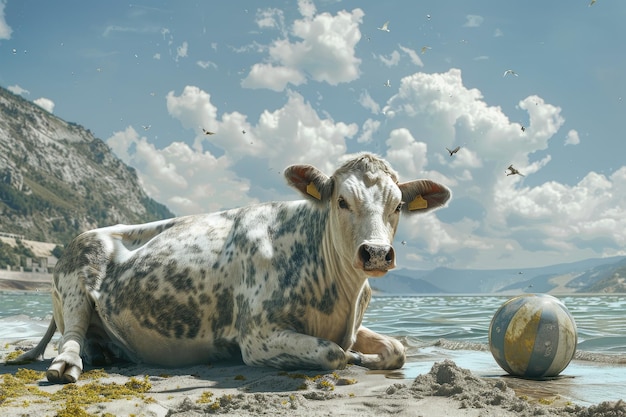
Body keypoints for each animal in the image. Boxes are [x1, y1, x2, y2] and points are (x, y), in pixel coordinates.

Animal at [8, 151, 448, 382]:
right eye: (341, 201)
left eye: (398, 206)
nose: (375, 253)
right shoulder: (257, 337)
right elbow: (333, 353)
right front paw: (352, 358)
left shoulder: (352, 326)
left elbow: (396, 349)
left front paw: (368, 357)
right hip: (76, 278)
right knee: (71, 336)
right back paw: (68, 364)